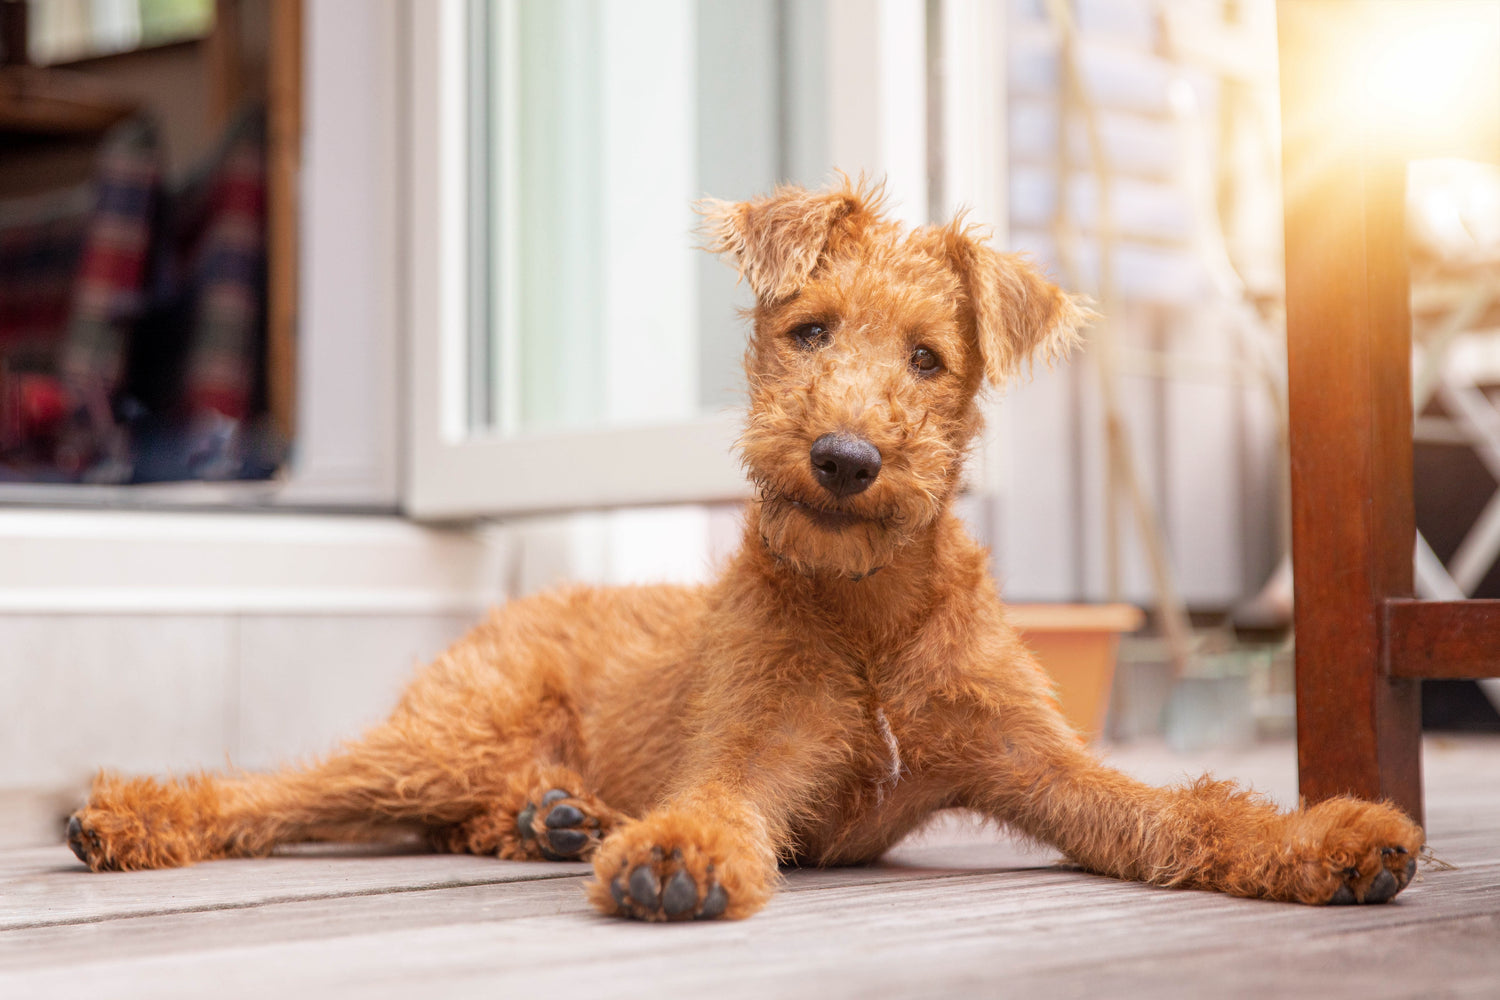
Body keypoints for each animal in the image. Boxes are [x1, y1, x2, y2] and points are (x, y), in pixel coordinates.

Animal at [64, 182, 1422, 923]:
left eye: (929, 357)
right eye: (807, 328)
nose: (844, 457)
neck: (868, 617)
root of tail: (531, 596)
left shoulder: (1038, 763)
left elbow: (1186, 808)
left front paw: (1339, 840)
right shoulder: (758, 741)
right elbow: (716, 799)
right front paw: (673, 858)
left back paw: (550, 816)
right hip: (436, 735)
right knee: (282, 789)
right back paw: (129, 812)